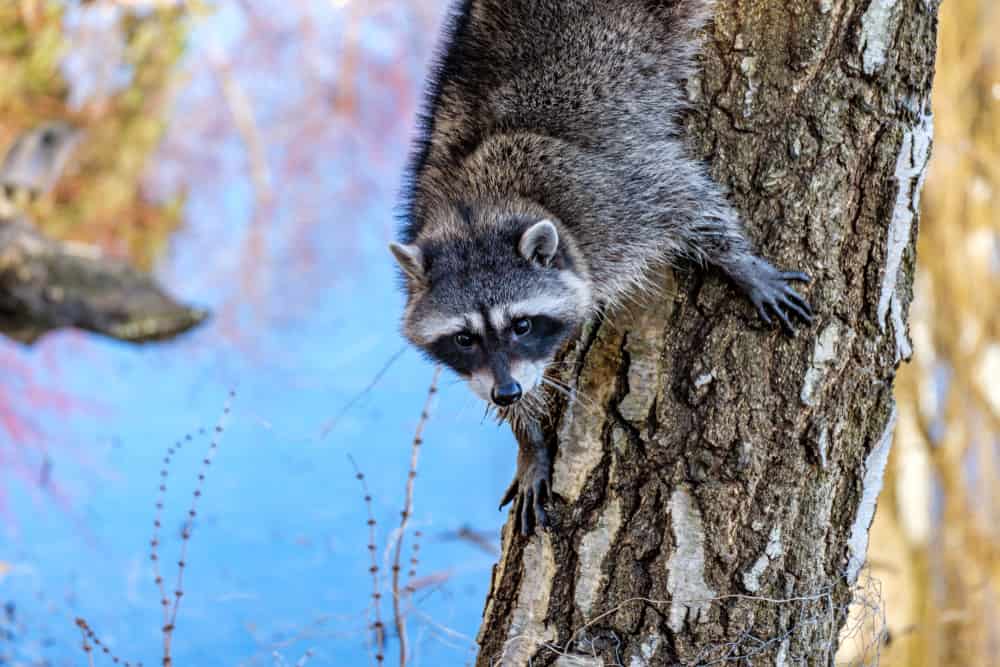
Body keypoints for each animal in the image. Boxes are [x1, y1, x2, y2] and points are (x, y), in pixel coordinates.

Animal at [390, 0, 812, 536]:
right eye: (464, 338)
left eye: (521, 325)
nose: (506, 394)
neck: (476, 214)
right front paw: (528, 437)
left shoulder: (607, 194)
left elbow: (685, 199)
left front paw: (738, 262)